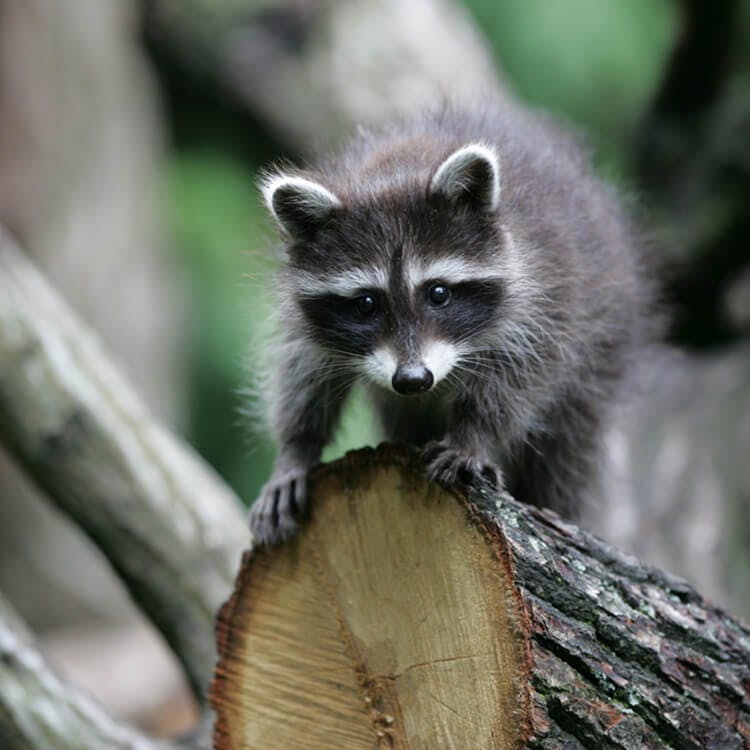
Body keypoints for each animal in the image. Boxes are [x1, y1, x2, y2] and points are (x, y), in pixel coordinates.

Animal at [250, 106, 656, 548]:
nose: (413, 379)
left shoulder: (546, 300)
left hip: (603, 345)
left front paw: (473, 435)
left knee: (567, 443)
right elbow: (304, 374)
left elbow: (519, 378)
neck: (396, 169)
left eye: (439, 293)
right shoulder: (306, 319)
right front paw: (296, 449)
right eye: (366, 304)